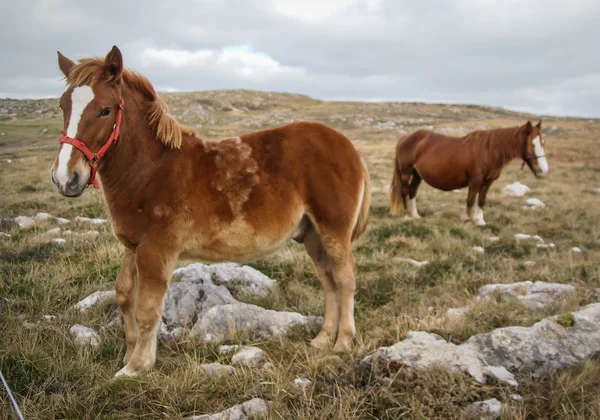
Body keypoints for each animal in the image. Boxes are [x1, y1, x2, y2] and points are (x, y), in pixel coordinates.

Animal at [50, 46, 370, 378]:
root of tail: (348, 147)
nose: (65, 178)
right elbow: (125, 294)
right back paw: (322, 339)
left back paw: (343, 342)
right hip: (312, 235)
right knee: (328, 280)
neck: (150, 169)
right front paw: (130, 355)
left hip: (333, 230)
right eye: (62, 105)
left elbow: (147, 309)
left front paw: (137, 367)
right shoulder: (133, 246)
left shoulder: (156, 250)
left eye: (106, 110)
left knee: (345, 280)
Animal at [390, 121, 548, 225]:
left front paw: (480, 221)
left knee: (412, 191)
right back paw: (406, 215)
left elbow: (481, 200)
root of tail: (405, 138)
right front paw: (467, 220)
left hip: (417, 175)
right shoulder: (475, 181)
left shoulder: (487, 182)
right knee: (405, 191)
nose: (543, 170)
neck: (488, 151)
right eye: (532, 144)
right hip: (406, 173)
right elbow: (470, 200)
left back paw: (415, 215)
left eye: (543, 142)